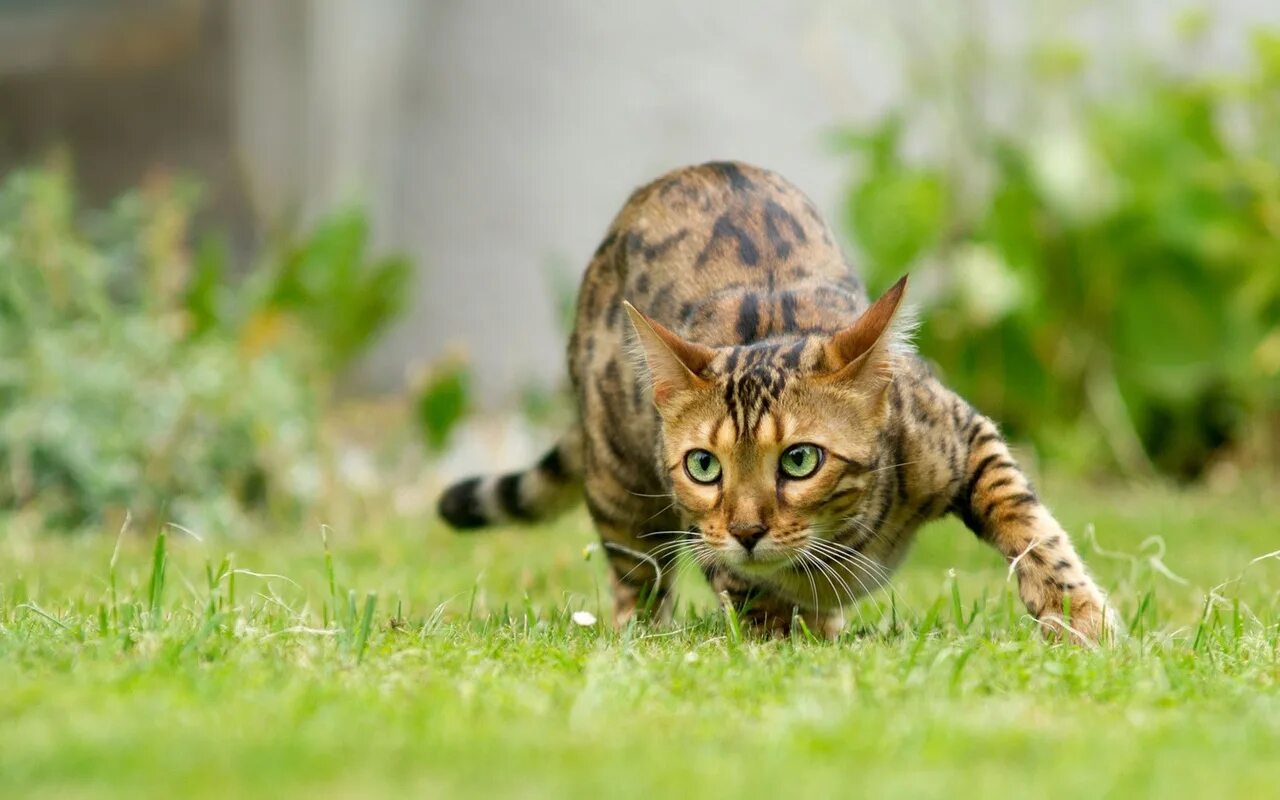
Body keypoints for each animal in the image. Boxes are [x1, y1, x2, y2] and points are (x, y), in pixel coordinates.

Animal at [437, 160, 1111, 642]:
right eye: (703, 466)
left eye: (800, 460)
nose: (747, 531)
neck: (843, 544)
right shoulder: (702, 532)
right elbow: (745, 587)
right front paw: (777, 642)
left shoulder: (959, 431)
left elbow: (1025, 516)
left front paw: (1075, 612)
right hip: (616, 481)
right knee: (637, 580)